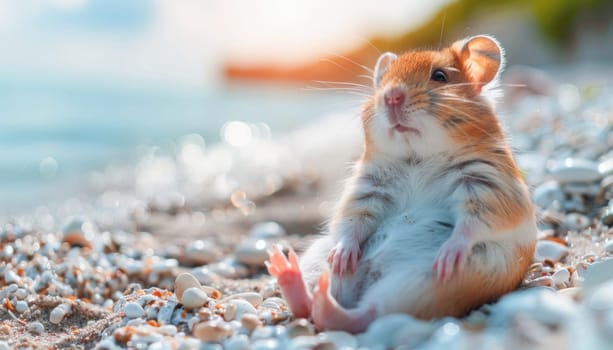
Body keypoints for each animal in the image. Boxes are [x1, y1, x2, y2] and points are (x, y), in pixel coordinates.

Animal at [266, 35, 532, 334]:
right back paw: (287, 269)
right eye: (383, 81)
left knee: (364, 314)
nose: (391, 95)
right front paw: (343, 255)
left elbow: (470, 226)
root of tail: (364, 284)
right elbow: (351, 224)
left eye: (440, 76)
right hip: (318, 255)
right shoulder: (367, 189)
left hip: (426, 283)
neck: (417, 155)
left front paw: (449, 254)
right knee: (311, 305)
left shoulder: (486, 187)